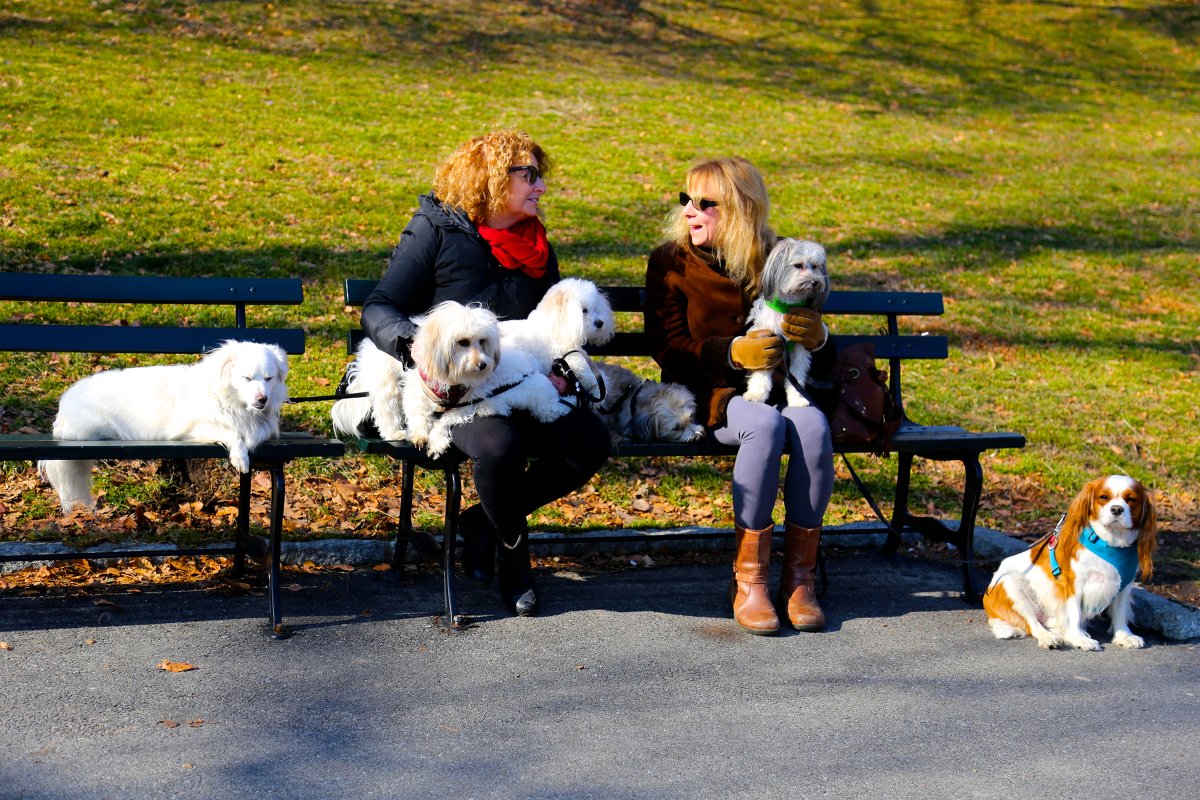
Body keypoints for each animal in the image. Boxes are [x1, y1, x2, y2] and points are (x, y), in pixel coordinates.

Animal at [328, 303, 571, 460]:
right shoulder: (417, 391)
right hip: (388, 382)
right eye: (462, 342)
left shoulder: (466, 404)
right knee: (385, 409)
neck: (452, 380)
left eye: (483, 341)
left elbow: (444, 421)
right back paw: (394, 432)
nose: (483, 365)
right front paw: (419, 435)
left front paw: (436, 442)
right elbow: (418, 416)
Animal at [744, 239, 830, 407]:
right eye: (798, 265)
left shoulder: (799, 349)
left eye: (815, 266)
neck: (786, 308)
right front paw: (756, 395)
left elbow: (796, 376)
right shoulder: (767, 345)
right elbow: (761, 374)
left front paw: (798, 399)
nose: (815, 282)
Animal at [984, 474, 1152, 652]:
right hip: (1010, 585)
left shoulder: (1124, 586)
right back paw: (1048, 637)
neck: (1110, 544)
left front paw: (1124, 636)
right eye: (1103, 497)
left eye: (1131, 499)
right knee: (1033, 624)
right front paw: (1078, 638)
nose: (1117, 509)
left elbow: (1120, 613)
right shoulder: (1074, 585)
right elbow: (1074, 613)